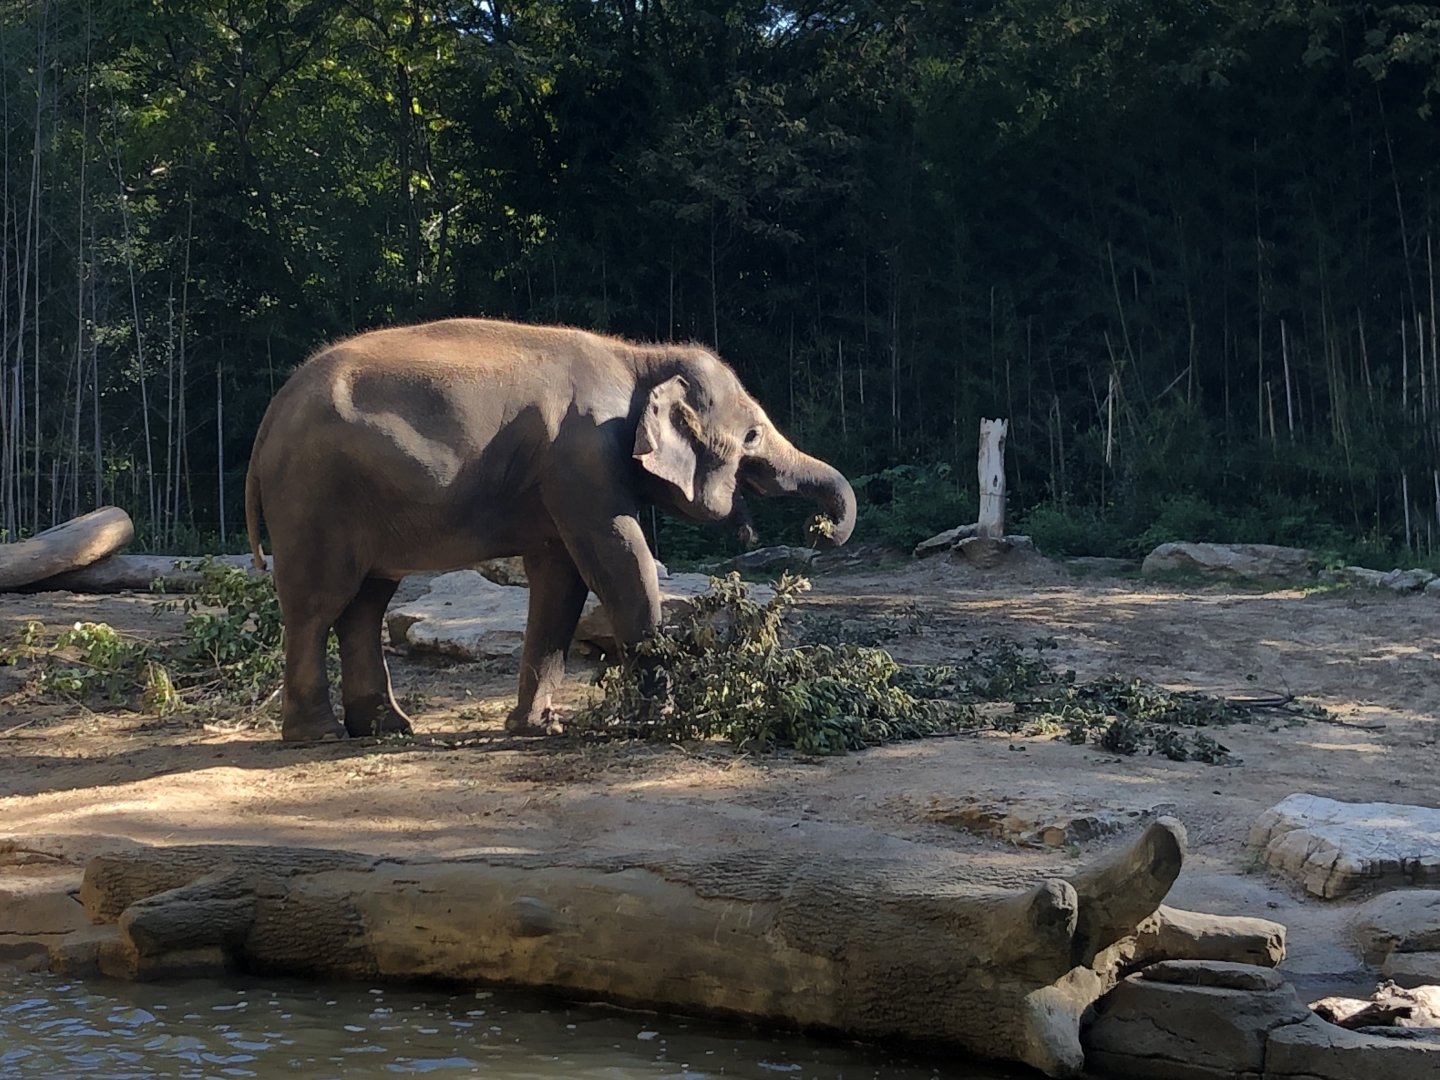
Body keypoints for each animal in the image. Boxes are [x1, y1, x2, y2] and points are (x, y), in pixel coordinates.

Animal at [244, 318, 857, 742]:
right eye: (751, 435)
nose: (819, 528)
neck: (640, 356)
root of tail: (267, 419)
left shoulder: (561, 476)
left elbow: (562, 581)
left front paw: (536, 729)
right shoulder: (582, 457)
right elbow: (618, 558)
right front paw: (656, 723)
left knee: (365, 603)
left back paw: (385, 730)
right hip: (312, 497)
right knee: (318, 603)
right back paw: (317, 736)